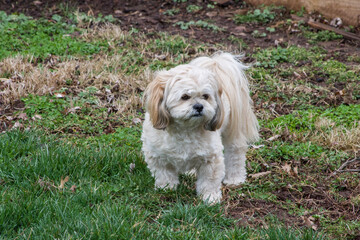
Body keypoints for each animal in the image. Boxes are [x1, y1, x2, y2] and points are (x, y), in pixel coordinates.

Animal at [141, 52, 258, 202]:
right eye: (185, 96)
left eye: (205, 96)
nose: (199, 106)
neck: (185, 130)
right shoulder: (157, 156)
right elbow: (164, 174)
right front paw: (166, 189)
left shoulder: (211, 159)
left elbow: (209, 181)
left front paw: (210, 198)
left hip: (232, 131)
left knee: (235, 154)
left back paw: (235, 178)